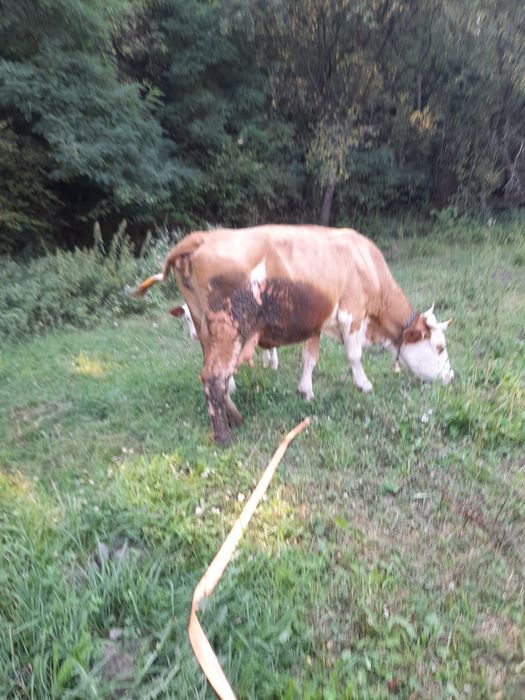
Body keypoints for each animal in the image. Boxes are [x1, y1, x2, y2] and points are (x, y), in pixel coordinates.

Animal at [134, 225, 454, 445]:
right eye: (439, 347)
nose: (451, 377)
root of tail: (200, 237)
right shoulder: (352, 313)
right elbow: (354, 355)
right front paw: (363, 385)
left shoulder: (315, 323)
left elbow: (309, 358)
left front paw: (306, 390)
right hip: (228, 328)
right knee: (214, 377)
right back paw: (225, 436)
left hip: (204, 329)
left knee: (216, 377)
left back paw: (235, 417)